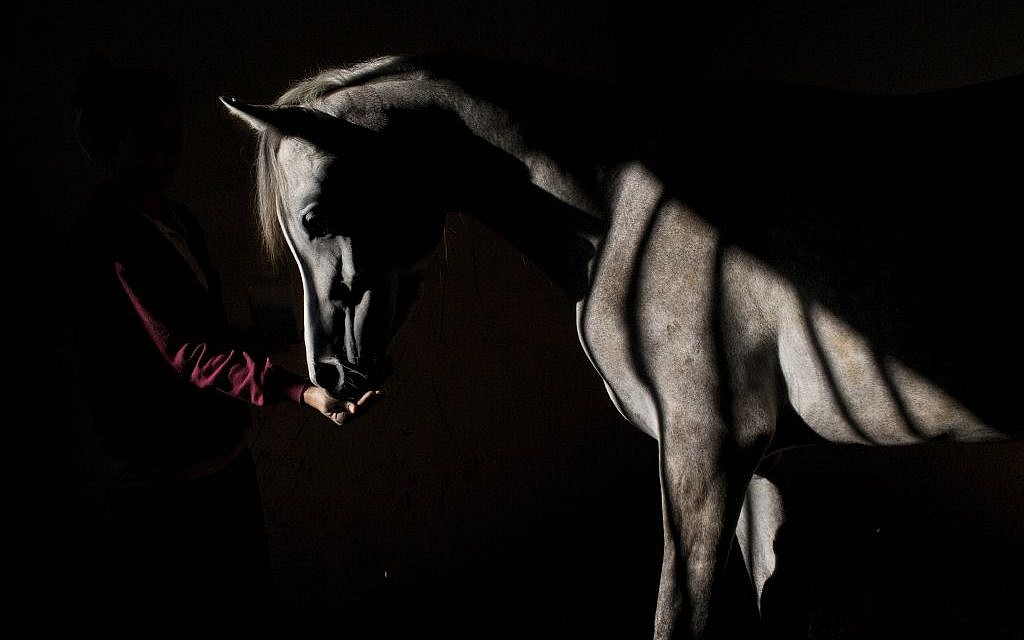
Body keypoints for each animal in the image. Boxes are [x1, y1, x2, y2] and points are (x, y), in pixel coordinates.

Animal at [222, 55, 1022, 639]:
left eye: (313, 216)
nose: (331, 375)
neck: (619, 206)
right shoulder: (763, 462)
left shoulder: (706, 449)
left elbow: (679, 621)